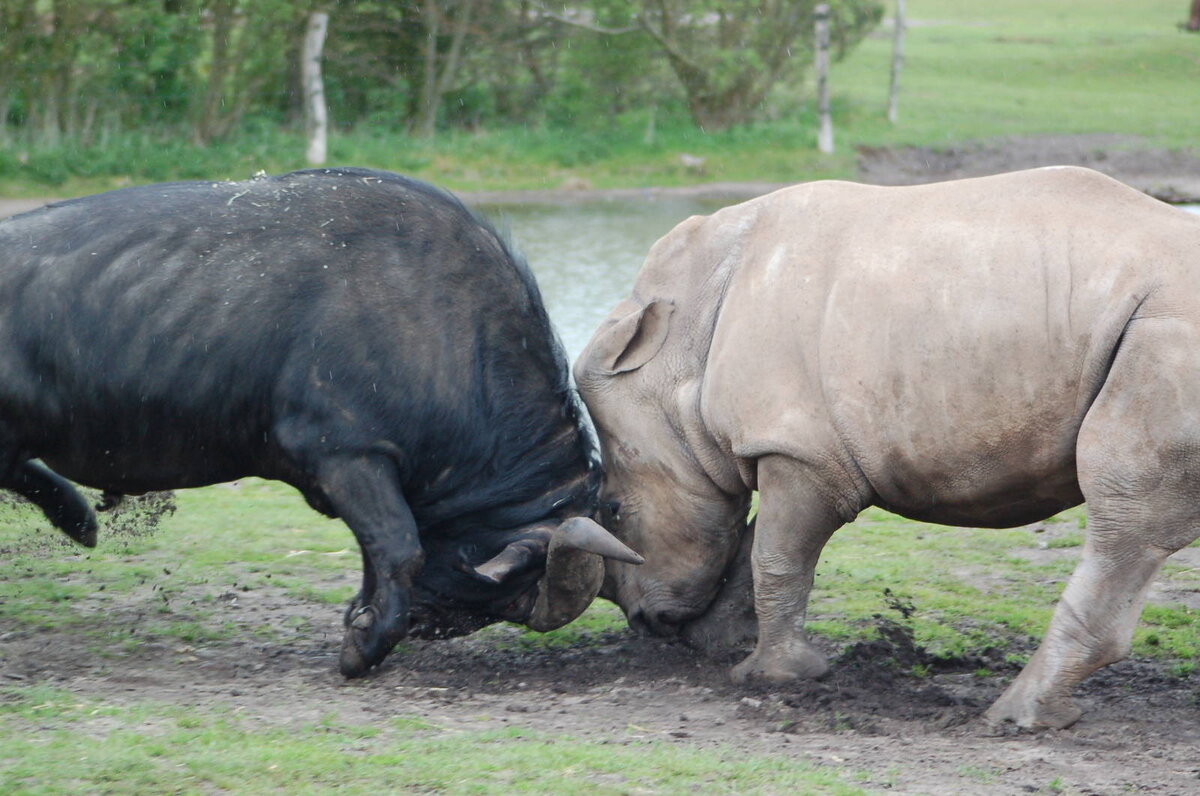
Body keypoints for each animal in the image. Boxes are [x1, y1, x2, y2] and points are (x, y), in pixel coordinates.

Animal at [0, 166, 638, 672]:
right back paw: (78, 516)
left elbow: (376, 554)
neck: (448, 333)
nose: (430, 626)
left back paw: (79, 520)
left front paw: (365, 620)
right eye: (504, 590)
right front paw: (366, 645)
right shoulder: (347, 453)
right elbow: (399, 548)